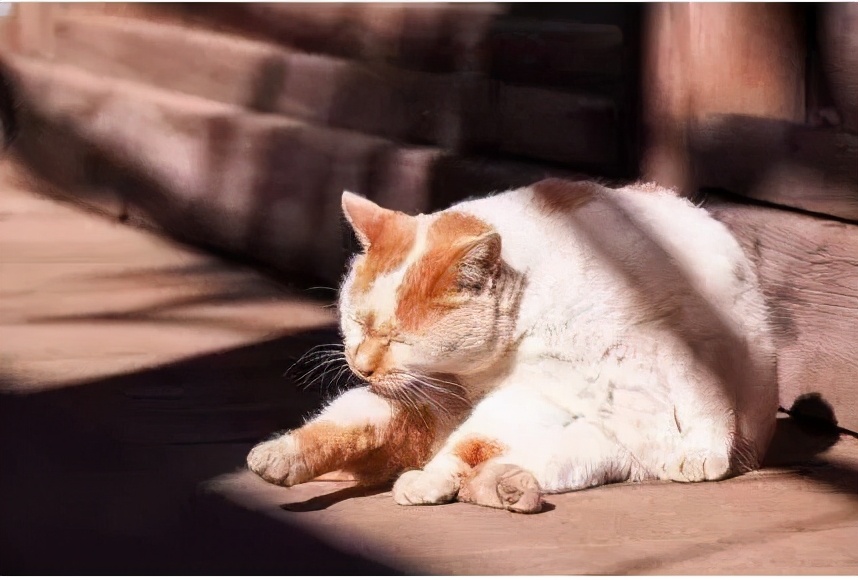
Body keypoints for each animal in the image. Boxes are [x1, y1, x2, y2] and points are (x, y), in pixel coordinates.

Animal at [246, 179, 776, 516]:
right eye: (357, 323)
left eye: (398, 338)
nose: (361, 364)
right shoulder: (523, 391)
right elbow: (469, 442)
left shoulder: (692, 339)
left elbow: (705, 395)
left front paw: (703, 453)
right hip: (424, 405)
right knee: (364, 426)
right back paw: (281, 457)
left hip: (587, 447)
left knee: (489, 464)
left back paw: (504, 487)